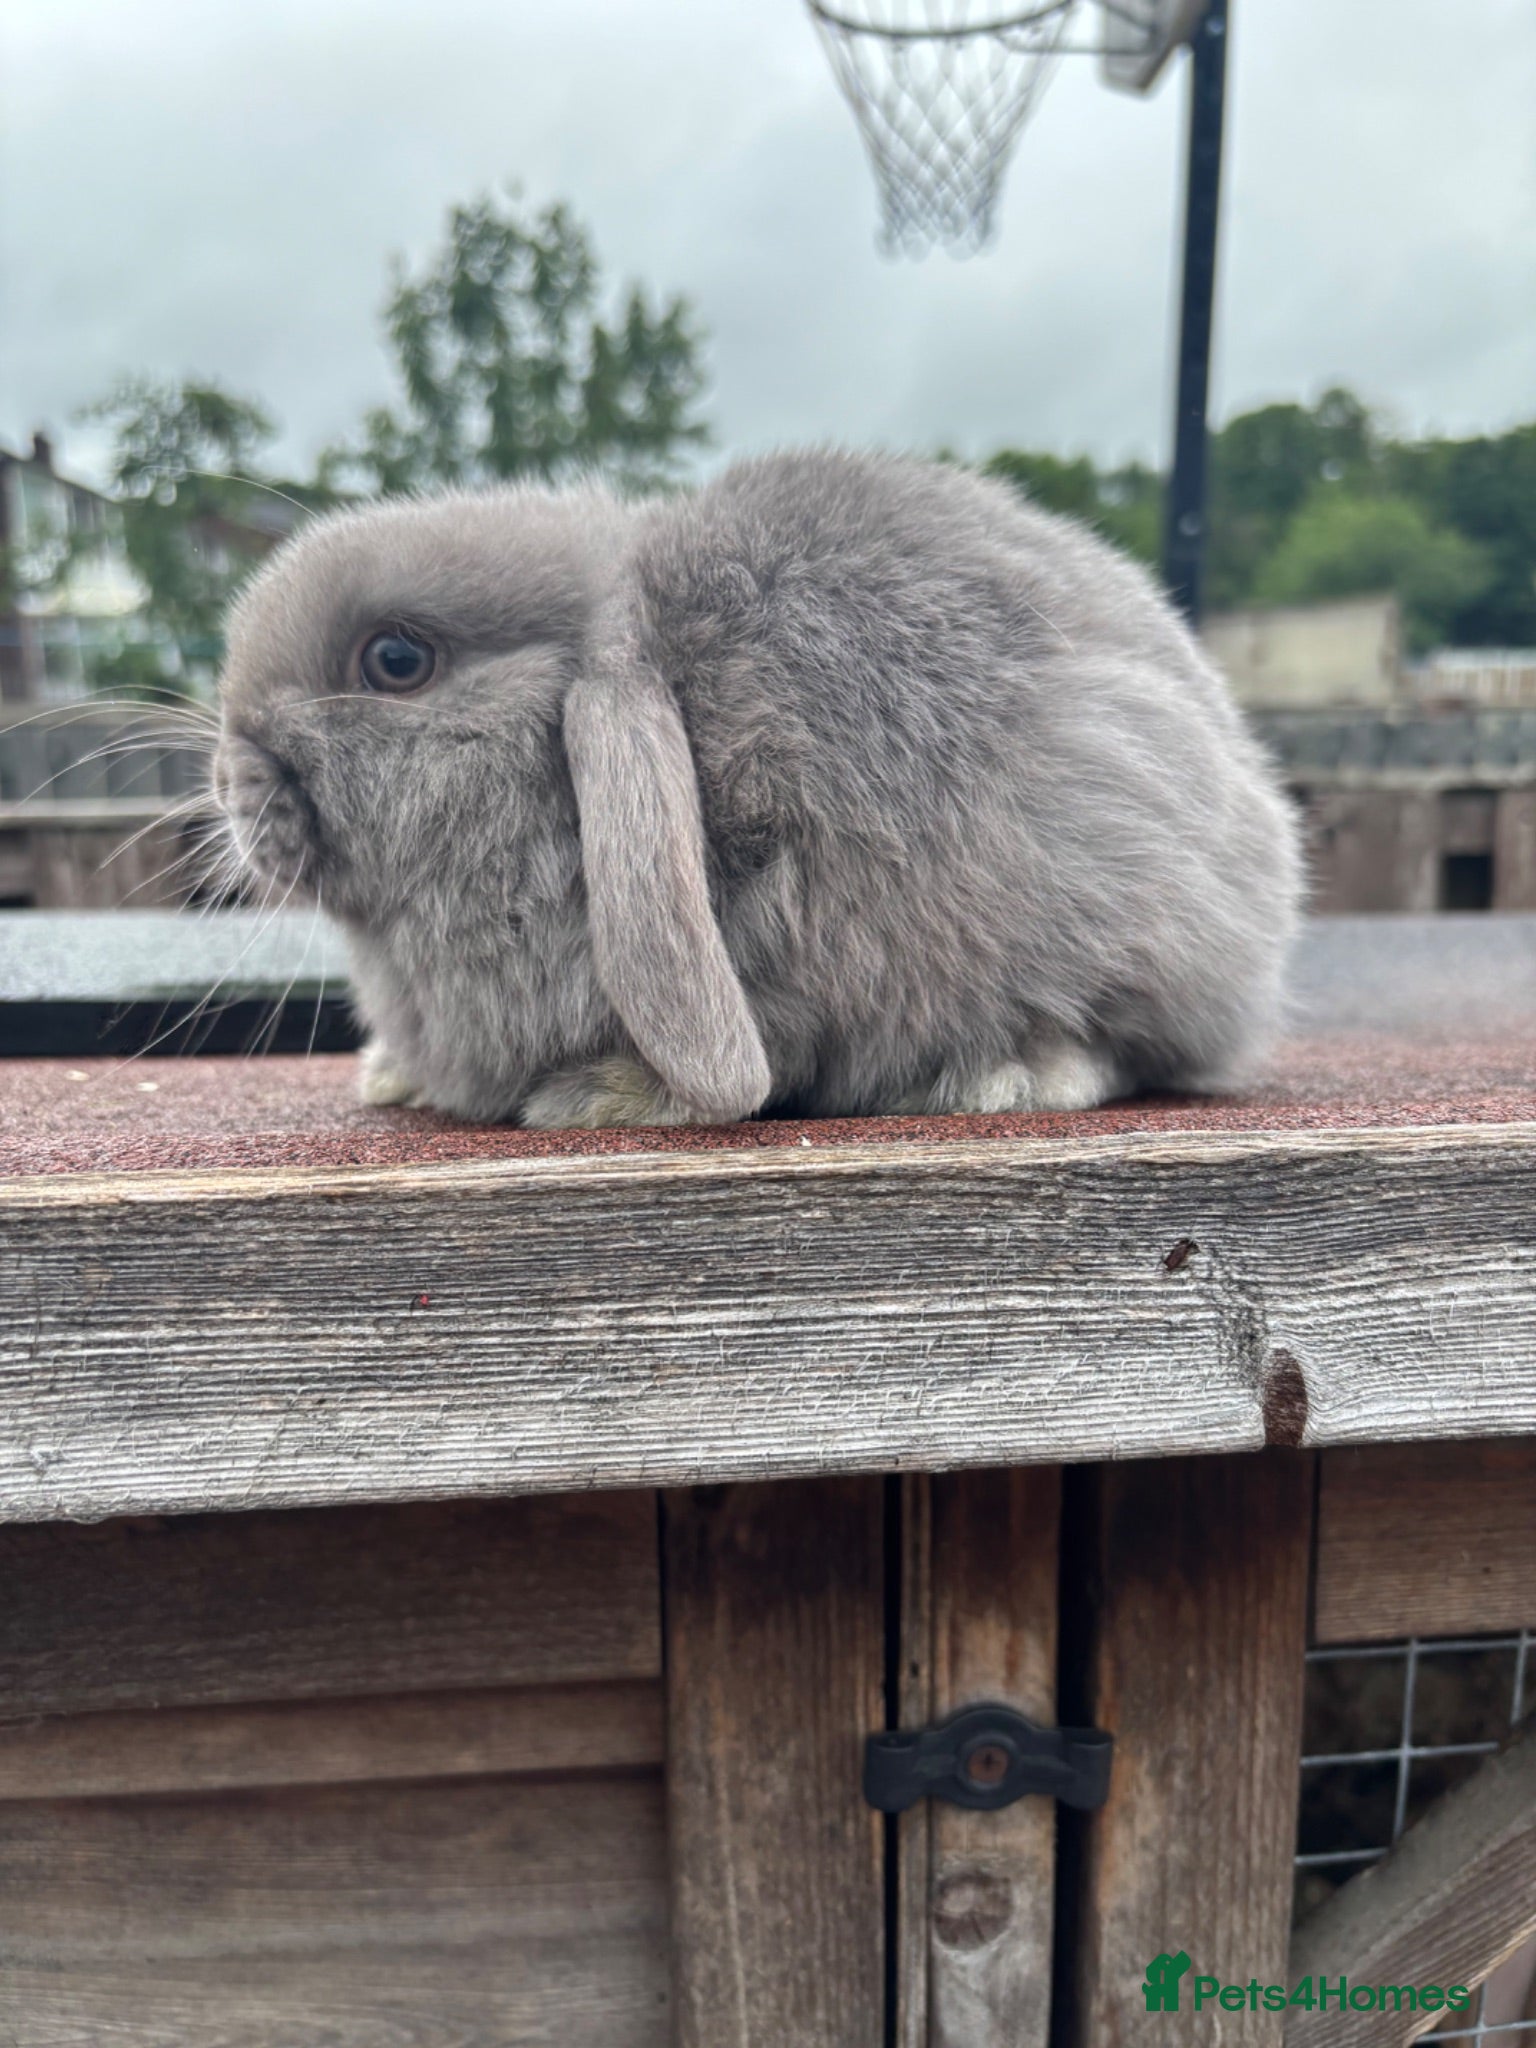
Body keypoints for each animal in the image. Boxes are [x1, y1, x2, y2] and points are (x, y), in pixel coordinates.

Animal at [214, 447, 1303, 1129]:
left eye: (395, 660)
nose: (227, 779)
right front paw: (389, 1079)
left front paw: (606, 1097)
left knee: (1115, 1045)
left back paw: (1002, 1076)